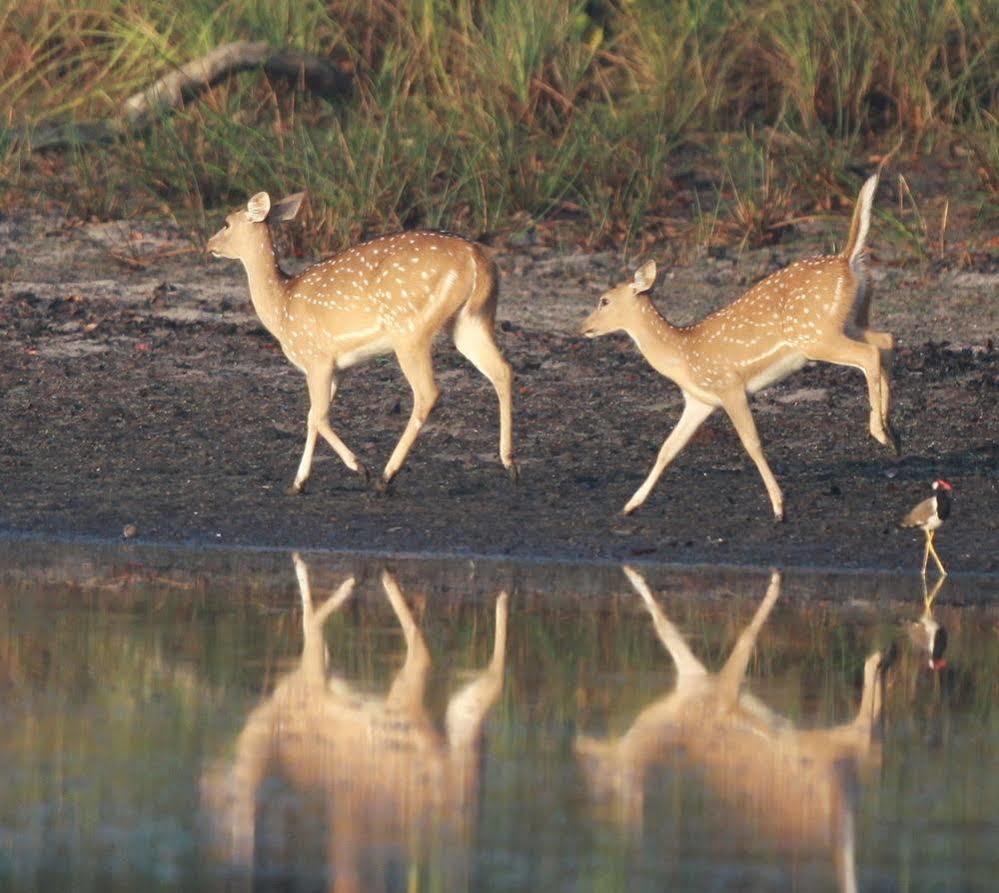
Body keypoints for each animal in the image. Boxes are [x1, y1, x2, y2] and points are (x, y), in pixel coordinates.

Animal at [204, 191, 516, 492]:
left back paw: (385, 477)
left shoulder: (316, 358)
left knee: (428, 392)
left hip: (410, 328)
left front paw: (359, 468)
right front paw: (298, 483)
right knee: (502, 370)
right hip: (471, 320)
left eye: (226, 222)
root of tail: (477, 258)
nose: (208, 245)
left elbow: (319, 416)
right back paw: (509, 461)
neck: (282, 308)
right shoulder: (337, 368)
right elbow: (312, 416)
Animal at [205, 556, 516, 888]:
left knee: (424, 651)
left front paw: (337, 580)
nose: (205, 782)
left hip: (403, 710)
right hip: (458, 729)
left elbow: (311, 622)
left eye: (224, 804)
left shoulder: (312, 672)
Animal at [580, 568, 892, 888]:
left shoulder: (723, 687)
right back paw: (882, 662)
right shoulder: (698, 679)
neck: (674, 721)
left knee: (865, 731)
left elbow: (738, 635)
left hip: (828, 756)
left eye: (603, 774)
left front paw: (775, 583)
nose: (581, 747)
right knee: (870, 738)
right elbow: (665, 626)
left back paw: (877, 658)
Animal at [584, 174, 896, 520]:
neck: (682, 353)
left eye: (604, 300)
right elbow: (668, 448)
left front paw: (778, 506)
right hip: (850, 320)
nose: (583, 327)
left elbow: (751, 442)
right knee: (885, 340)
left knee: (869, 354)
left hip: (815, 335)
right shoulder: (699, 400)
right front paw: (631, 504)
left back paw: (880, 431)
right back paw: (892, 432)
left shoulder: (729, 385)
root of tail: (846, 260)